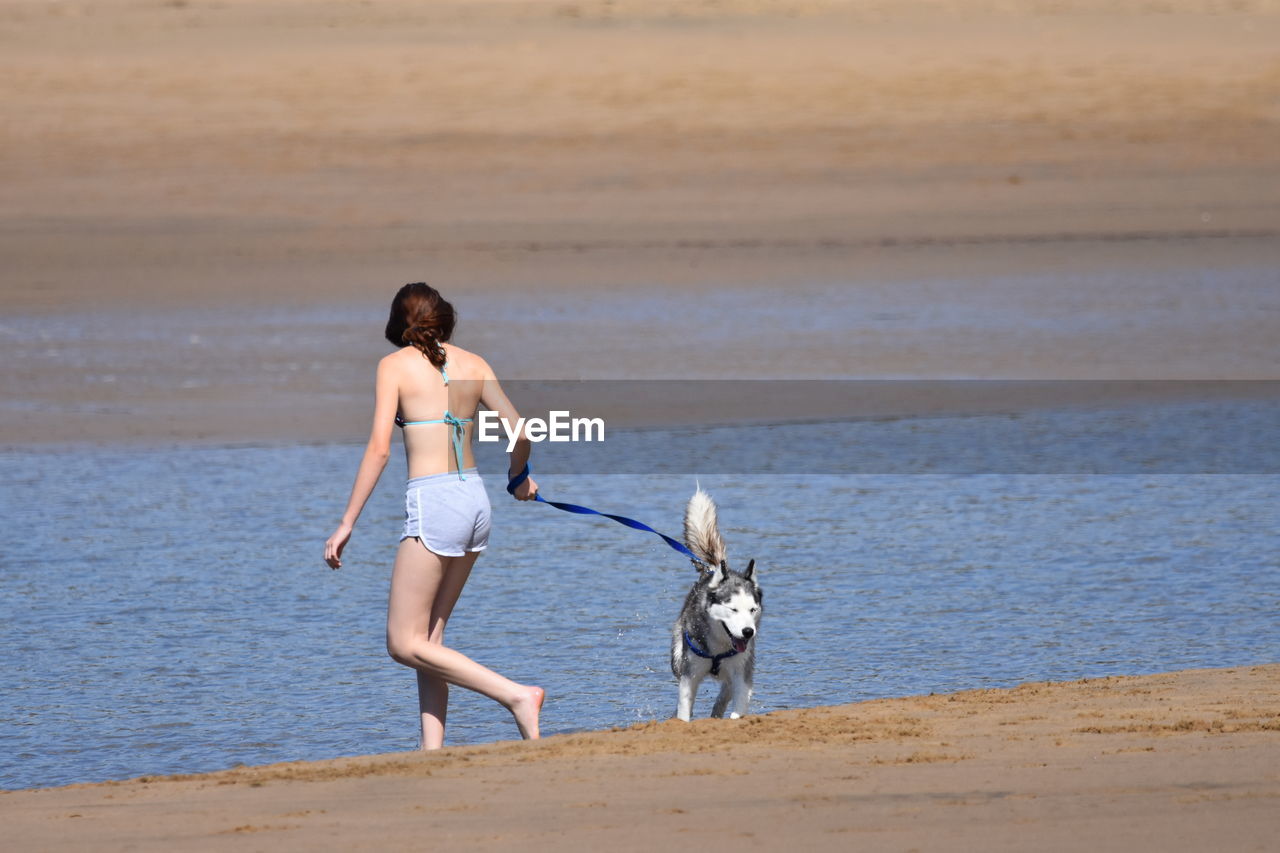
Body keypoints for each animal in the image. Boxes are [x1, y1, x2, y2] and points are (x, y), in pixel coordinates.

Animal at [670, 484, 757, 717]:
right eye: (733, 609)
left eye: (753, 610)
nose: (748, 632)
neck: (720, 646)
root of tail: (713, 568)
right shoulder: (689, 676)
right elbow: (684, 710)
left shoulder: (741, 672)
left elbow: (738, 705)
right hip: (677, 659)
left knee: (724, 693)